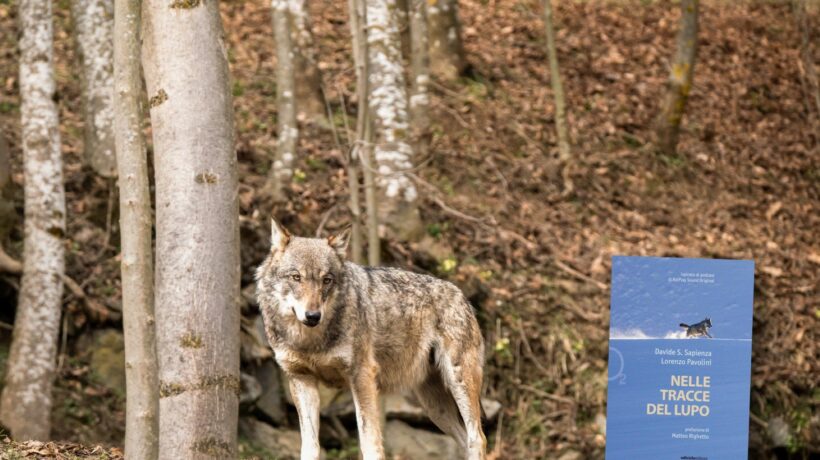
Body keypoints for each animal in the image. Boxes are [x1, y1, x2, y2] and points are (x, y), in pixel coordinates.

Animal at [255, 219, 487, 460]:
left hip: (458, 382)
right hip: (434, 407)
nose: (313, 316)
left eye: (326, 280)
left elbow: (370, 442)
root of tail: (463, 297)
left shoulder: (362, 376)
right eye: (296, 277)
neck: (310, 341)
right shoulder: (301, 380)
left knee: (477, 437)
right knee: (465, 440)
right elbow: (310, 446)